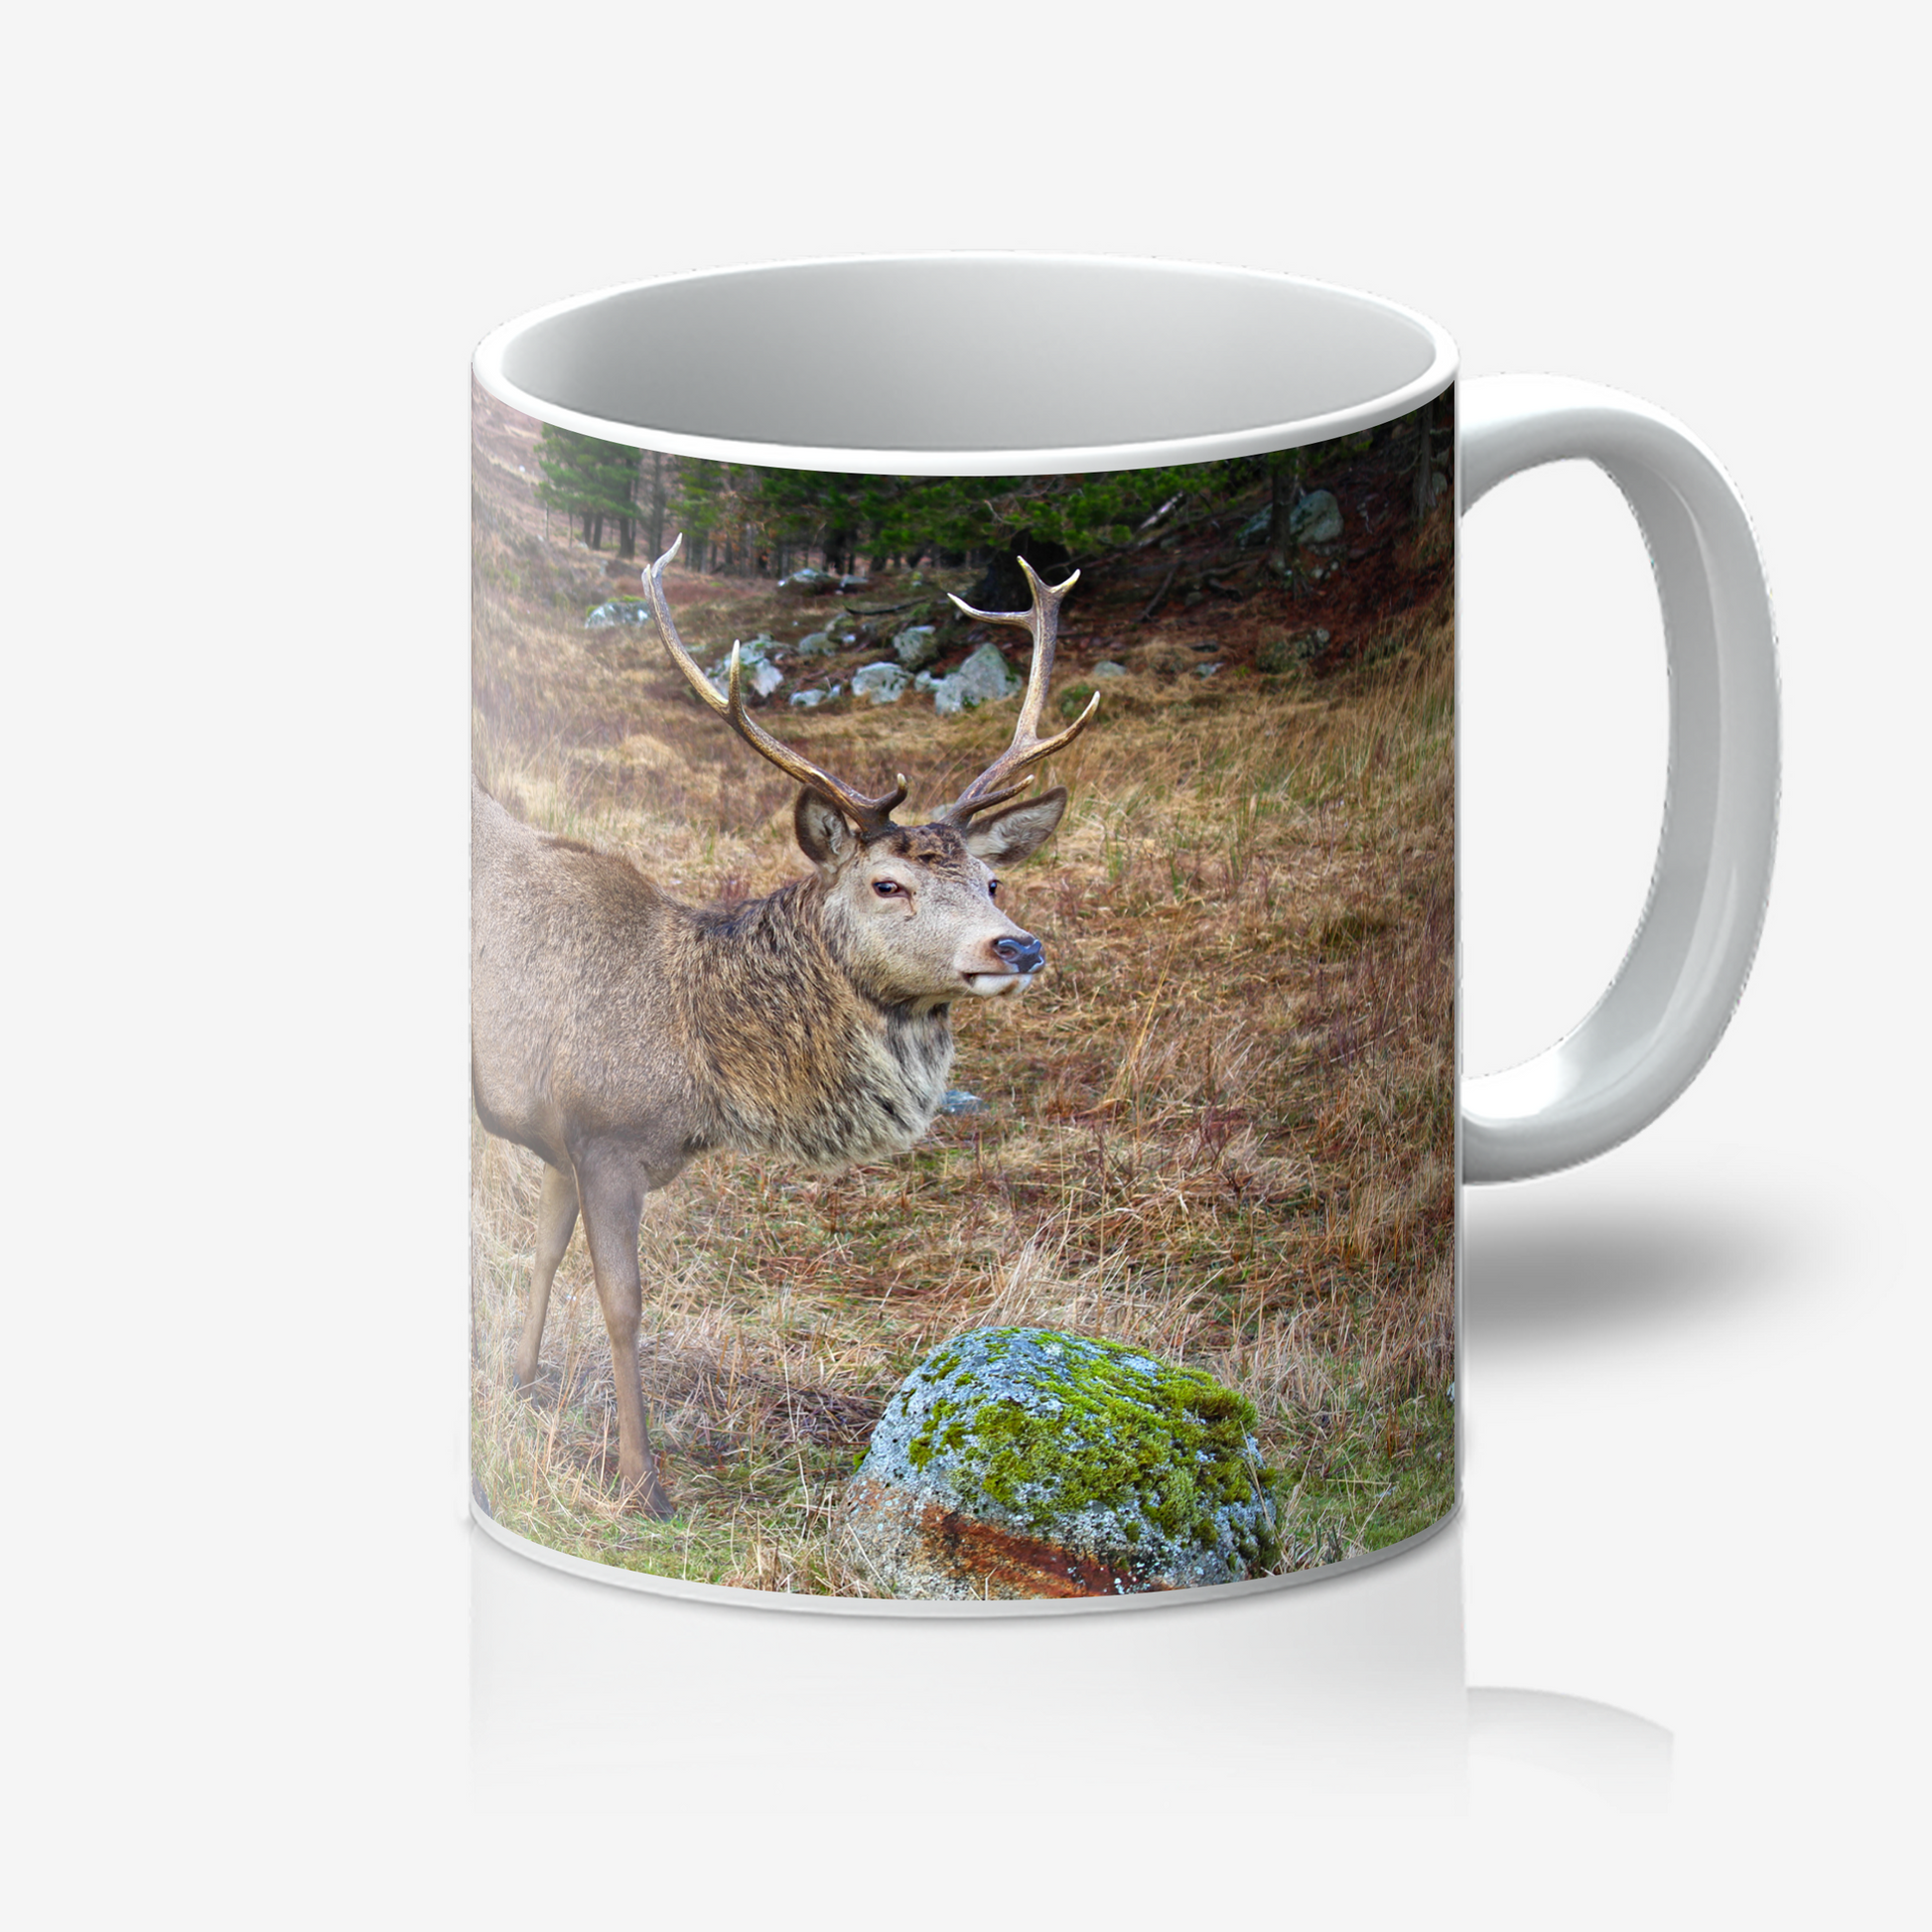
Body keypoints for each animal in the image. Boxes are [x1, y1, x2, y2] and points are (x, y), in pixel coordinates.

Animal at [471, 537, 1100, 1514]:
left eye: (992, 880)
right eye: (888, 883)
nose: (1019, 944)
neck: (697, 1065)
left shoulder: (558, 1137)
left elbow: (539, 1255)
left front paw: (521, 1379)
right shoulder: (604, 1137)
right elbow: (622, 1304)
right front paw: (643, 1480)